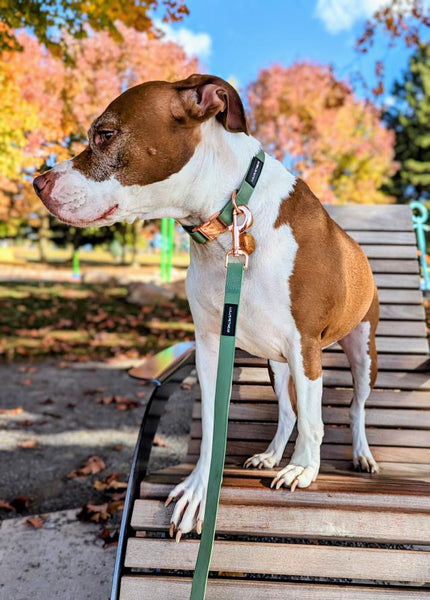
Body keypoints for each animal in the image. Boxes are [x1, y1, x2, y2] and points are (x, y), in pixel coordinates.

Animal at [34, 75, 380, 540]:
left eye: (104, 134)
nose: (38, 183)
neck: (229, 217)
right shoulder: (213, 345)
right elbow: (219, 424)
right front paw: (201, 489)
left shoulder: (304, 344)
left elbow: (314, 419)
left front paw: (304, 470)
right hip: (276, 363)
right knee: (287, 411)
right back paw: (271, 455)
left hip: (360, 352)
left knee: (355, 406)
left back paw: (358, 454)